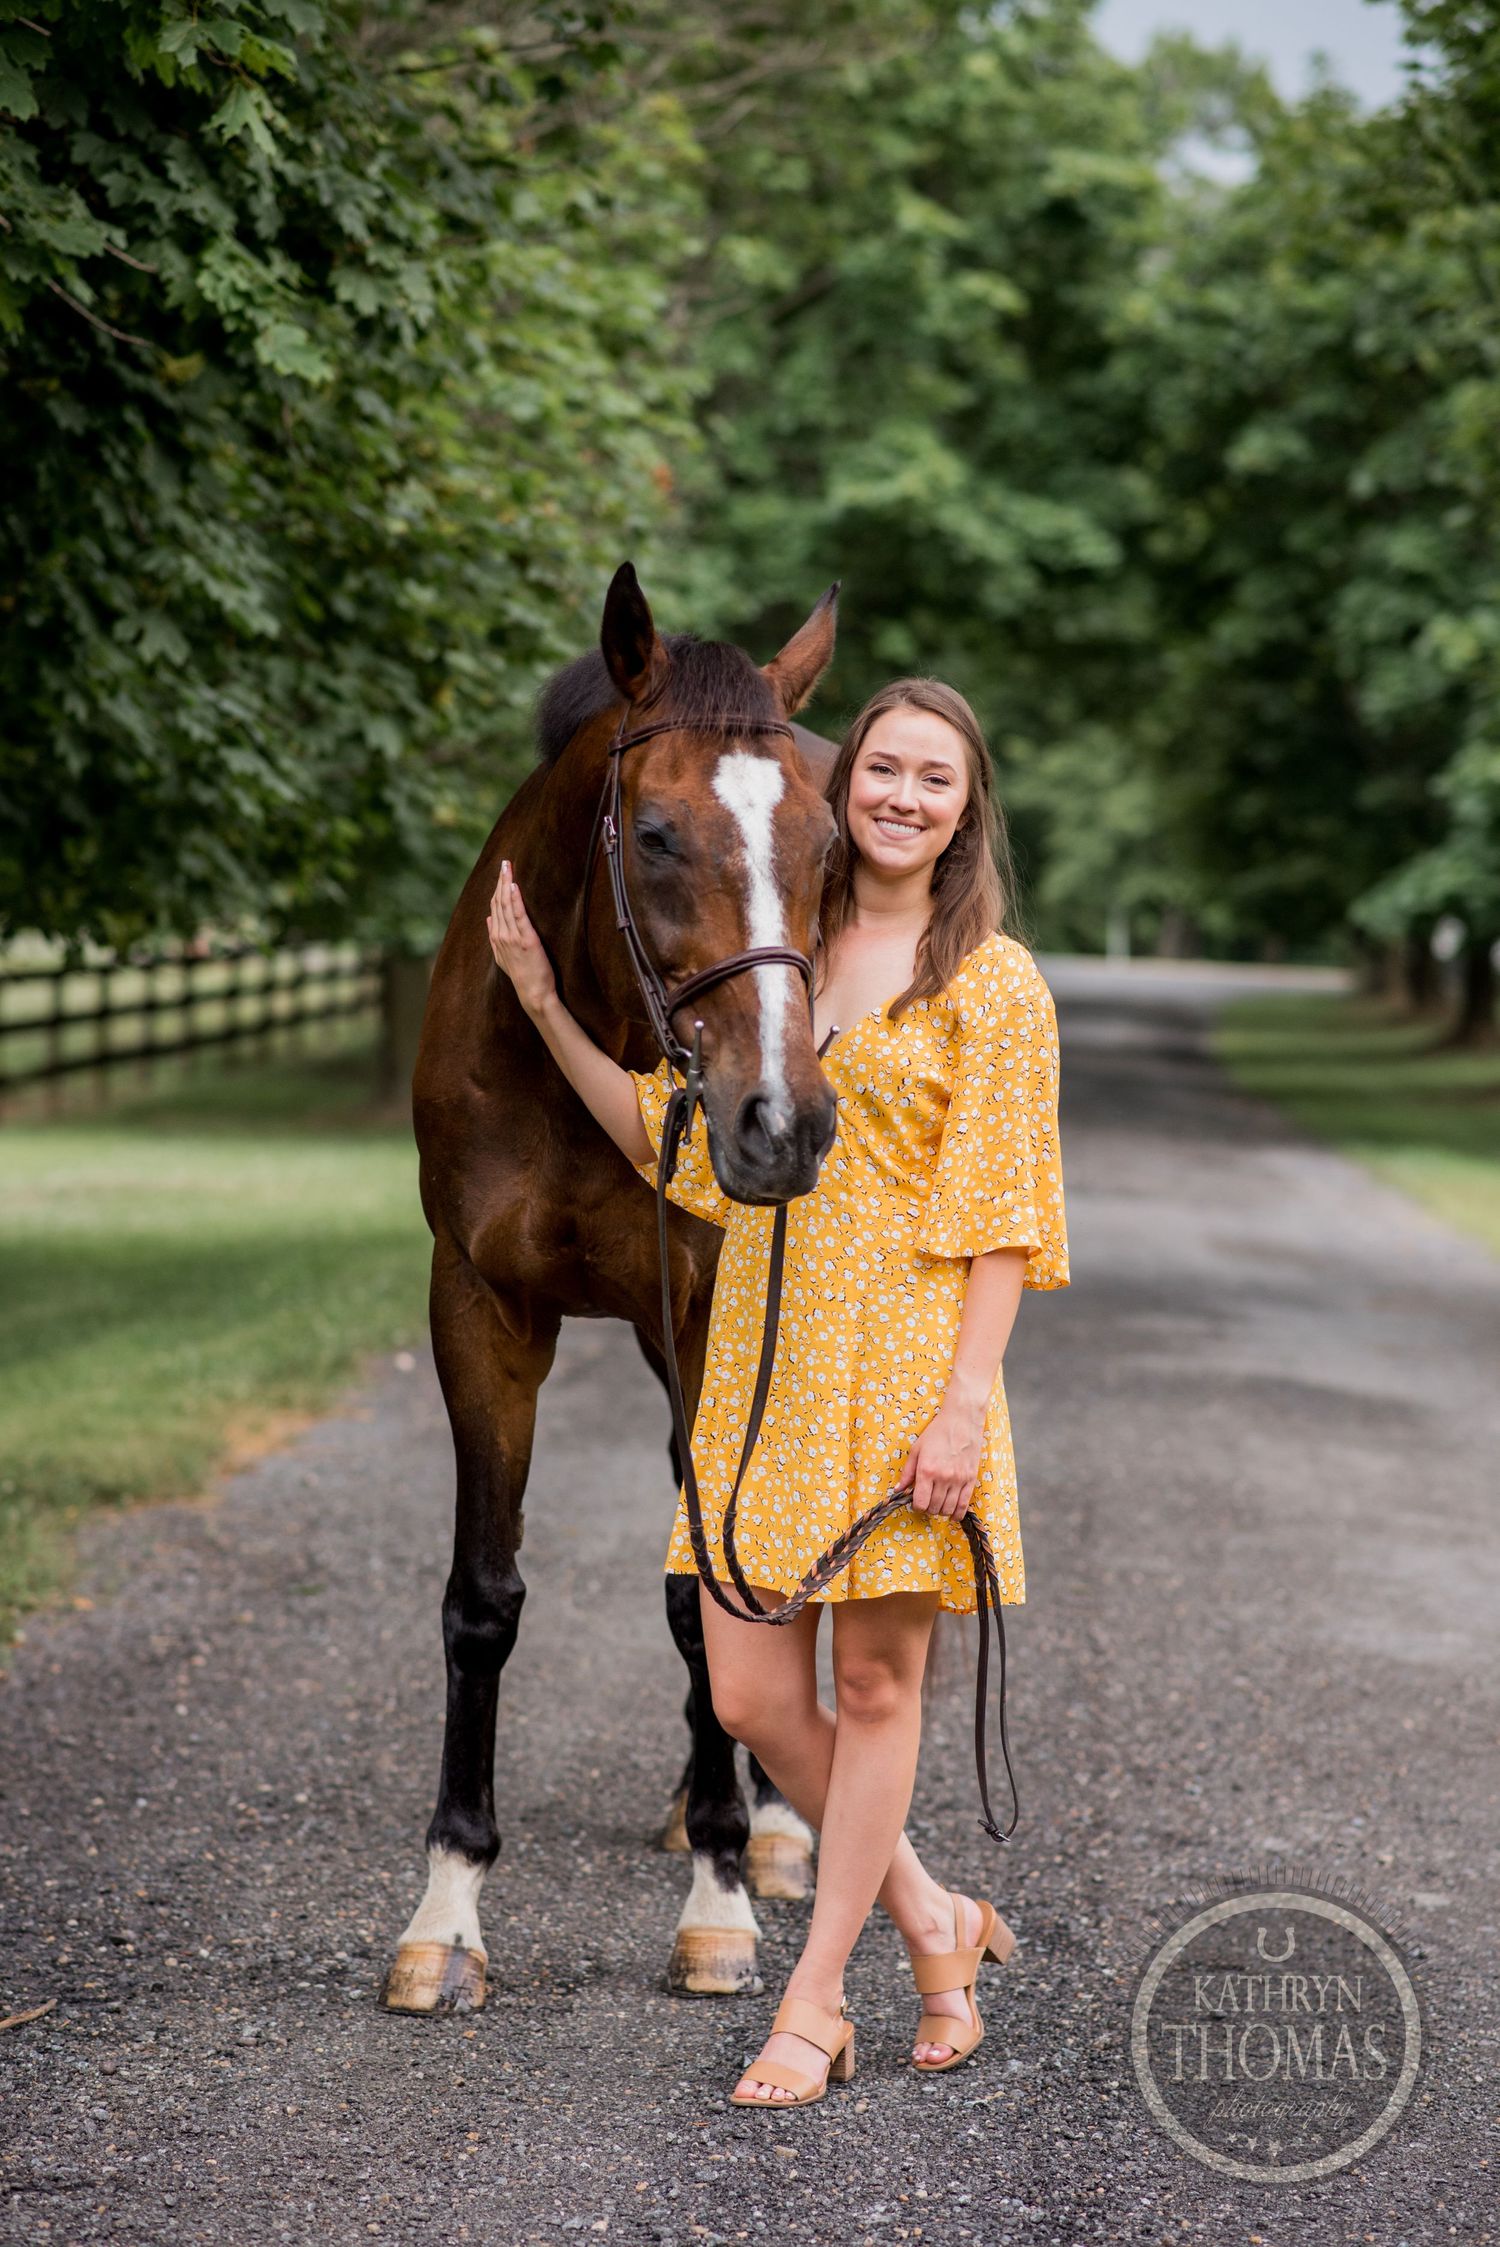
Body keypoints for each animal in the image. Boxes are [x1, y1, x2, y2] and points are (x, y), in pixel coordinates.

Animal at [382, 563, 844, 2014]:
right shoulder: (479, 1310)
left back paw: (774, 1822)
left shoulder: (700, 1313)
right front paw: (446, 1913)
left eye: (828, 848)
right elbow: (482, 1600)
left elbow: (704, 1592)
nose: (782, 1122)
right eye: (652, 833)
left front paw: (721, 1897)